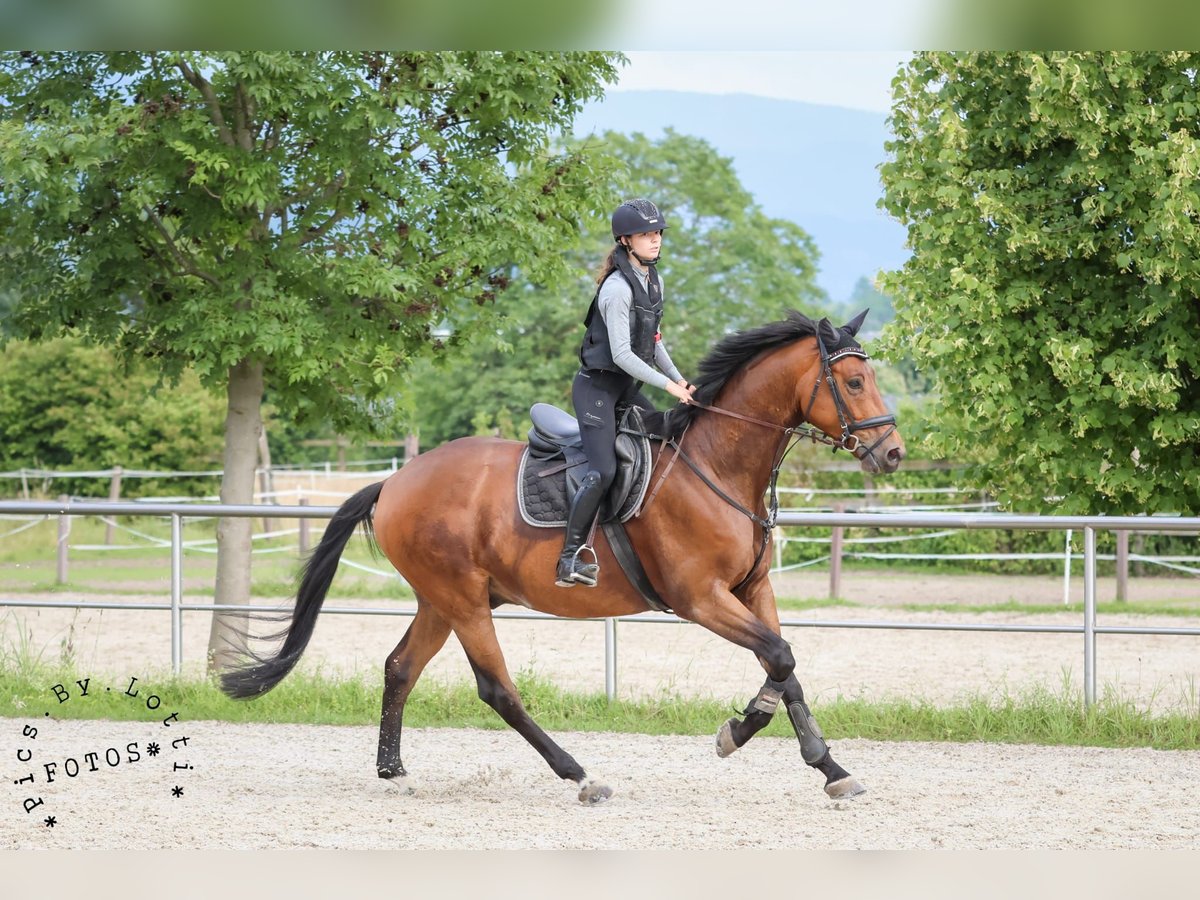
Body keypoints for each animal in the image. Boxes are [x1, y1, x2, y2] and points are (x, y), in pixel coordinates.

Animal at [223, 309, 902, 801]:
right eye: (853, 382)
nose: (892, 454)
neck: (716, 465)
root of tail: (394, 482)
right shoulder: (699, 599)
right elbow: (780, 656)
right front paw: (751, 737)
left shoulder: (752, 590)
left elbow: (783, 666)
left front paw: (816, 761)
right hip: (464, 600)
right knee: (497, 689)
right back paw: (580, 775)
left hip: (441, 599)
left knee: (399, 667)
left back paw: (392, 768)